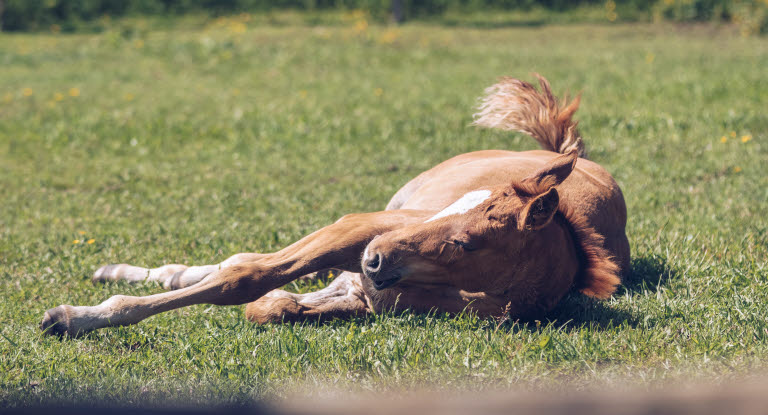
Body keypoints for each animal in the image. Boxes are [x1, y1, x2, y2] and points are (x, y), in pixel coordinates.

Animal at [40, 75, 632, 336]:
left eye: (465, 244)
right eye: (464, 205)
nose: (375, 259)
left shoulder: (364, 289)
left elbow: (269, 299)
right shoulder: (356, 227)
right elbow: (245, 276)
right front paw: (75, 317)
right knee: (234, 262)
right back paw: (118, 271)